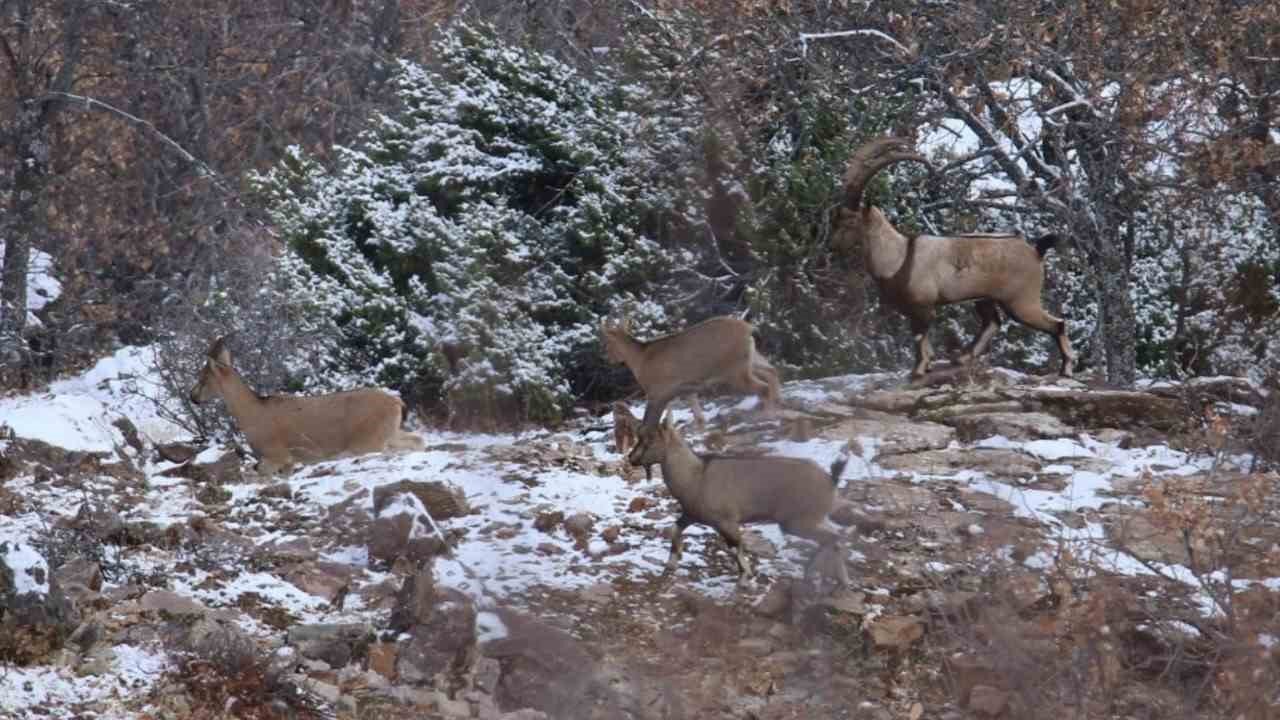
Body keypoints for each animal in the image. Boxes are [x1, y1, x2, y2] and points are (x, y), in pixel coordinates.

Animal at [188, 338, 424, 476]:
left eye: (204, 378)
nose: (193, 396)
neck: (253, 413)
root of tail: (398, 403)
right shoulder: (288, 463)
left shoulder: (275, 455)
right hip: (390, 433)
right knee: (418, 440)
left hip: (369, 441)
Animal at [599, 312, 778, 425]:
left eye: (607, 343)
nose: (608, 359)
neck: (640, 359)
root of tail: (749, 328)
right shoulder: (686, 387)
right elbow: (698, 416)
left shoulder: (657, 391)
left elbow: (654, 421)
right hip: (751, 359)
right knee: (772, 371)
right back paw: (779, 404)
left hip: (735, 369)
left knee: (763, 387)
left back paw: (768, 416)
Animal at [627, 412, 849, 586]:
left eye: (650, 440)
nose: (631, 458)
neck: (696, 476)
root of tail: (831, 480)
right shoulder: (691, 515)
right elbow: (674, 529)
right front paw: (671, 564)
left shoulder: (725, 521)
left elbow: (735, 547)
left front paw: (745, 577)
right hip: (813, 519)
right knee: (836, 538)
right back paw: (840, 579)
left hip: (797, 521)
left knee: (832, 538)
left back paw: (811, 573)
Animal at [834, 136, 1075, 379]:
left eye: (851, 221)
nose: (835, 246)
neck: (898, 256)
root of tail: (1036, 250)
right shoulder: (914, 309)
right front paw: (927, 365)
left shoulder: (923, 307)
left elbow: (919, 337)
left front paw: (918, 370)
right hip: (986, 297)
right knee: (992, 322)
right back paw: (962, 358)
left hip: (1021, 300)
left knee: (1057, 324)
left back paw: (1066, 369)